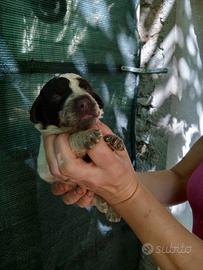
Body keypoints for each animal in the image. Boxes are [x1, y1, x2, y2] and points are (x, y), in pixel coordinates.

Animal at [29, 73, 123, 221]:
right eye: (56, 96)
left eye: (88, 89)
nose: (84, 101)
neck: (78, 128)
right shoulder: (46, 170)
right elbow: (70, 138)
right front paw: (85, 136)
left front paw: (113, 139)